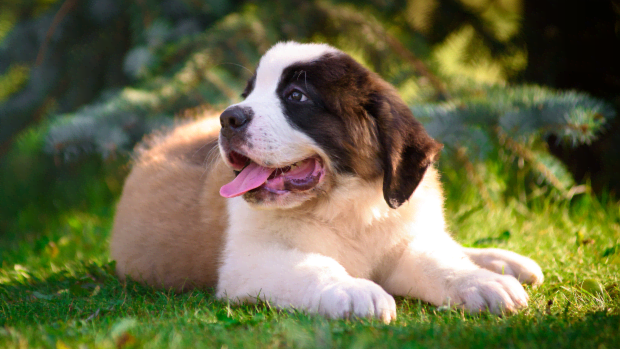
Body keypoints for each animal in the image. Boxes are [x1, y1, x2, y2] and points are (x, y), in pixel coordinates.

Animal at [111, 40, 544, 320]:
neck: (343, 207)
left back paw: (502, 263)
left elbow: (434, 260)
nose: (229, 117)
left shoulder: (399, 238)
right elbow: (314, 265)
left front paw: (479, 282)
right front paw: (354, 290)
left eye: (296, 96)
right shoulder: (250, 261)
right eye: (248, 94)